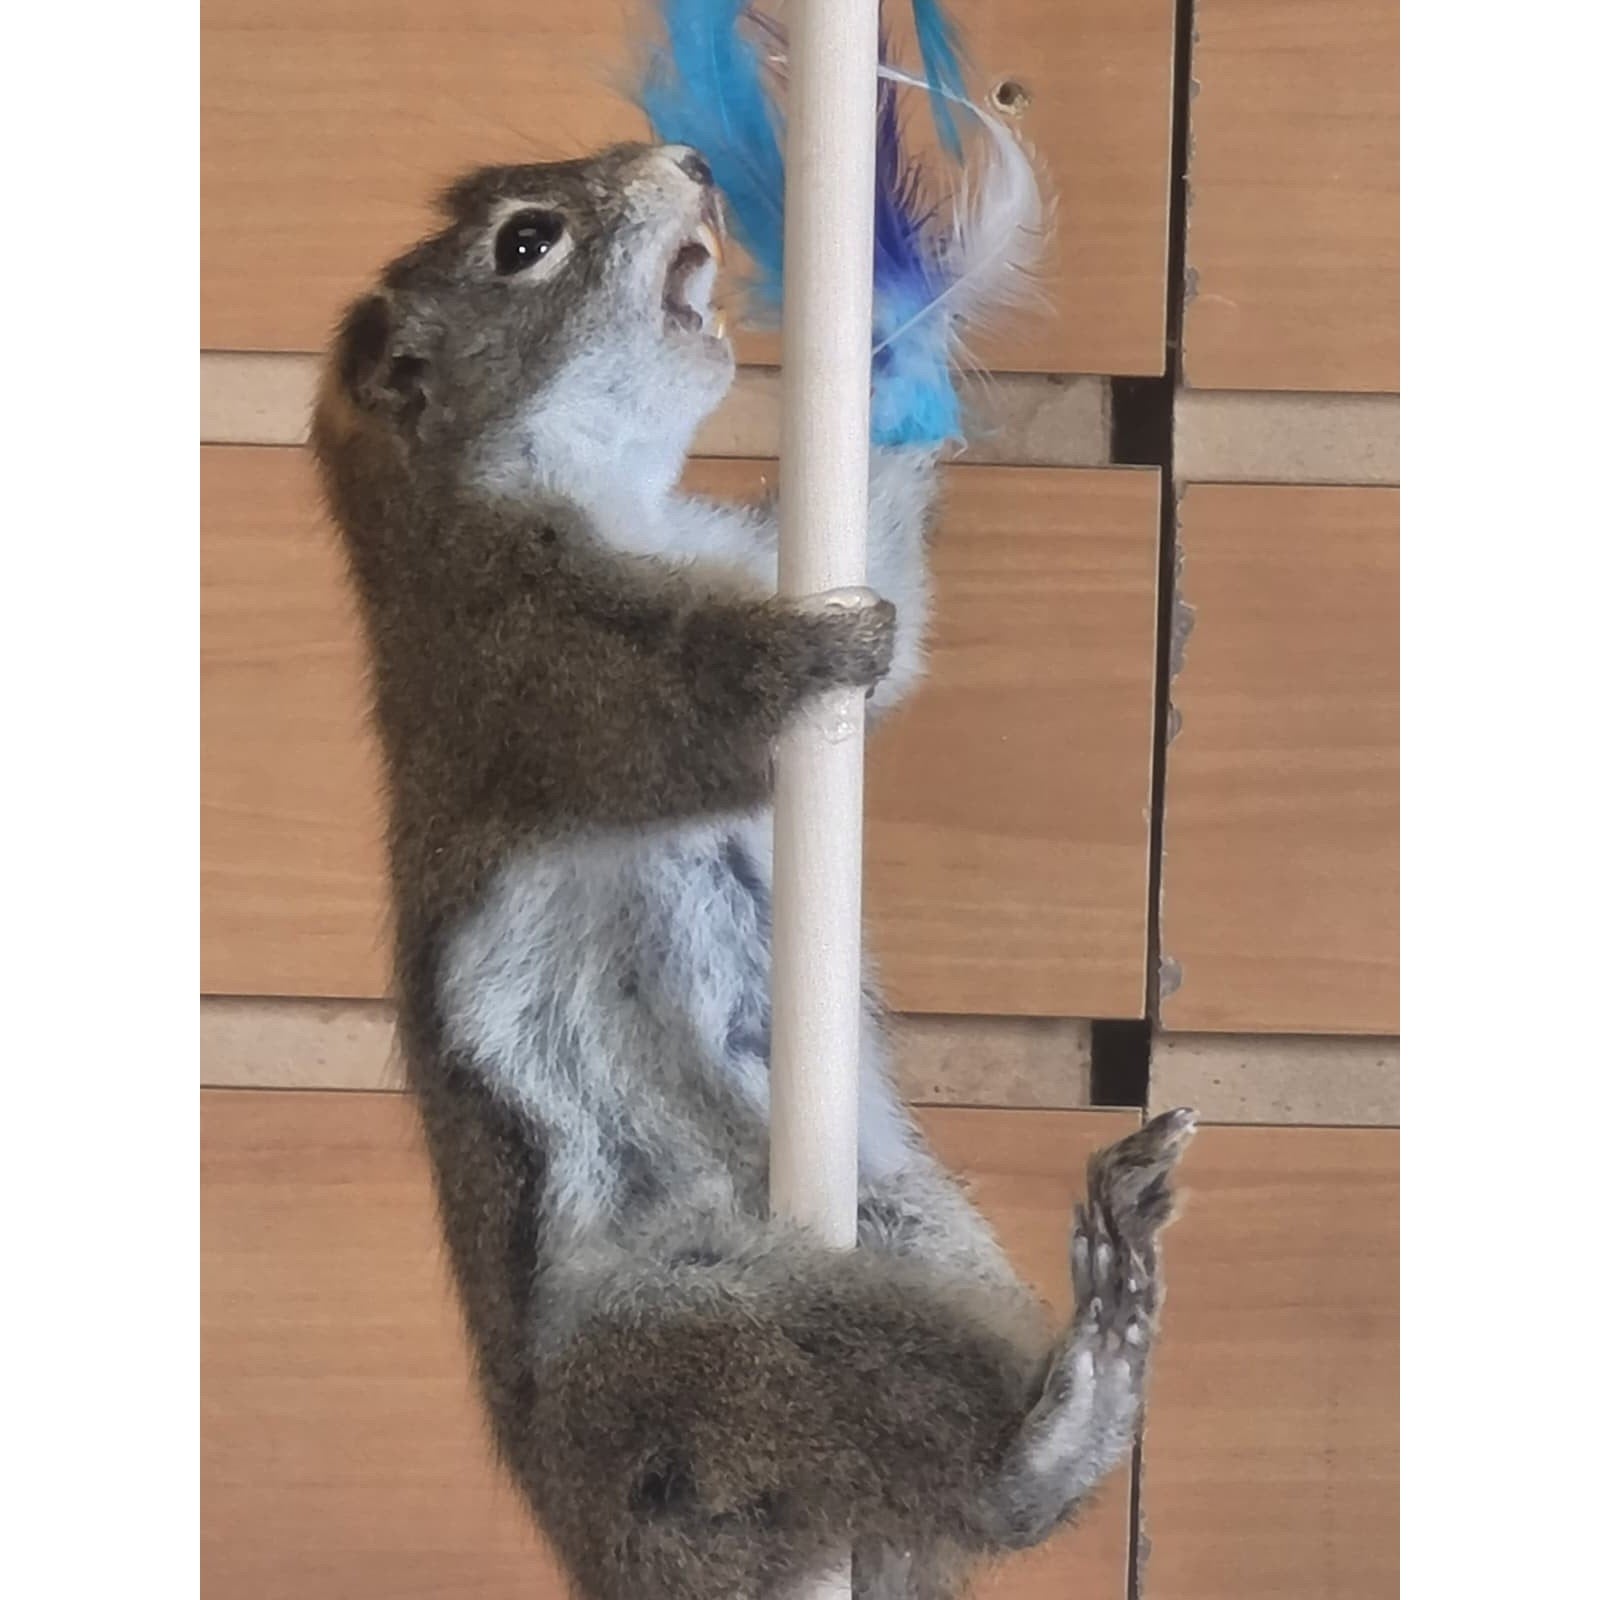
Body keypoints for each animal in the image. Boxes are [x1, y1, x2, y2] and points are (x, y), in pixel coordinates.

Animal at [311, 142, 1194, 1600]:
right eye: (525, 243)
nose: (684, 163)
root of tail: (607, 1546)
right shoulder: (530, 674)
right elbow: (700, 711)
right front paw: (819, 653)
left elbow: (882, 569)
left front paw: (902, 327)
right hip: (715, 1354)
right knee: (946, 1461)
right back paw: (1074, 1396)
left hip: (906, 1235)